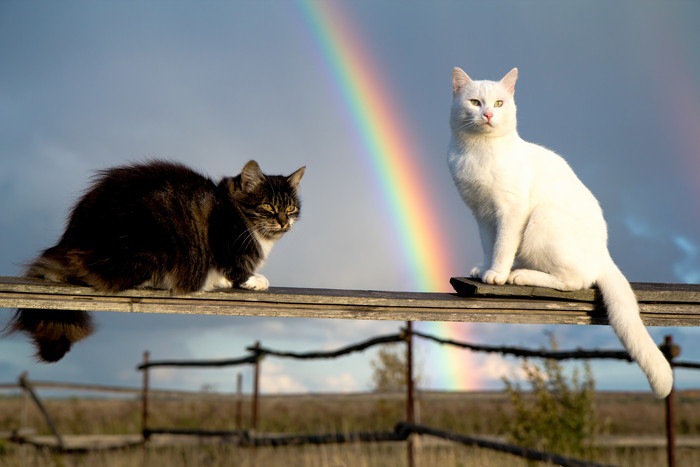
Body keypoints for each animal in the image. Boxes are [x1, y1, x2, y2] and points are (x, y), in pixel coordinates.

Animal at [5, 160, 304, 362]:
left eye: (290, 207)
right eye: (268, 206)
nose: (284, 221)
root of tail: (69, 240)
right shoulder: (225, 244)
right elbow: (236, 269)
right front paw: (252, 280)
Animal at [448, 68, 672, 398]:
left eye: (499, 103)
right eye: (475, 102)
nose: (488, 114)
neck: (478, 151)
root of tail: (603, 254)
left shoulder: (511, 210)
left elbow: (502, 246)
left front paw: (497, 275)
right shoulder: (482, 214)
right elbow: (489, 245)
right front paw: (485, 268)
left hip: (543, 218)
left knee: (575, 280)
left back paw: (520, 275)